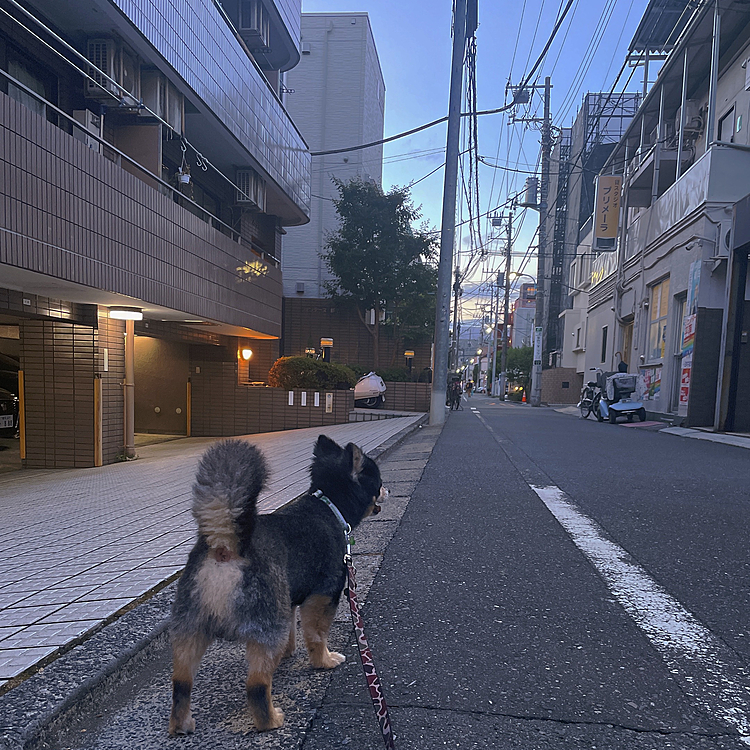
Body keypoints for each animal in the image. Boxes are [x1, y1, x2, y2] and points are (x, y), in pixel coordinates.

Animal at [165, 438, 388, 736]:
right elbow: (316, 636)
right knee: (257, 686)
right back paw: (270, 720)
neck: (329, 507)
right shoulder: (323, 595)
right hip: (265, 625)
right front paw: (324, 661)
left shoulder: (288, 600)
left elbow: (293, 630)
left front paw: (288, 653)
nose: (388, 490)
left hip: (191, 626)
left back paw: (182, 724)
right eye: (379, 481)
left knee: (181, 683)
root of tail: (226, 546)